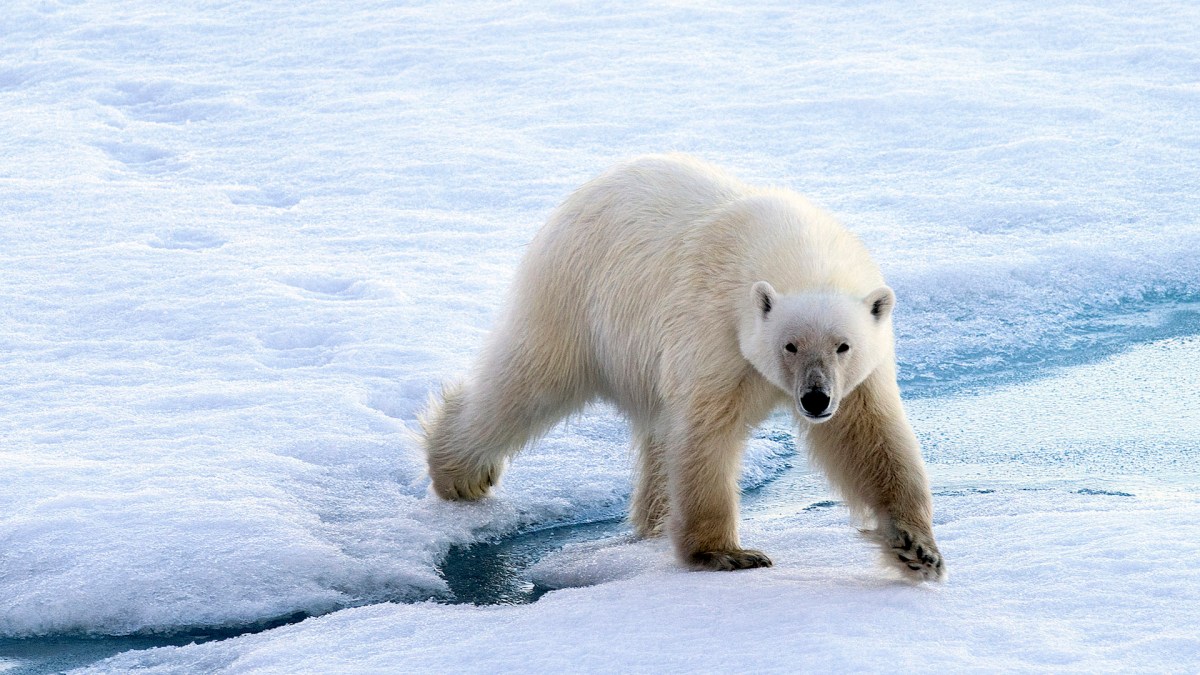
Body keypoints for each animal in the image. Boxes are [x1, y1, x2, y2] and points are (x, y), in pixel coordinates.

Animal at [422, 152, 945, 578]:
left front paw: (916, 548)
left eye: (843, 346)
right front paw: (726, 553)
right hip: (575, 297)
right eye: (790, 345)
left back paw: (652, 521)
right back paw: (459, 474)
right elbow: (706, 432)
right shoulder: (715, 330)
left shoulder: (858, 375)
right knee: (527, 384)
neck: (793, 247)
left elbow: (869, 437)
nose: (815, 399)